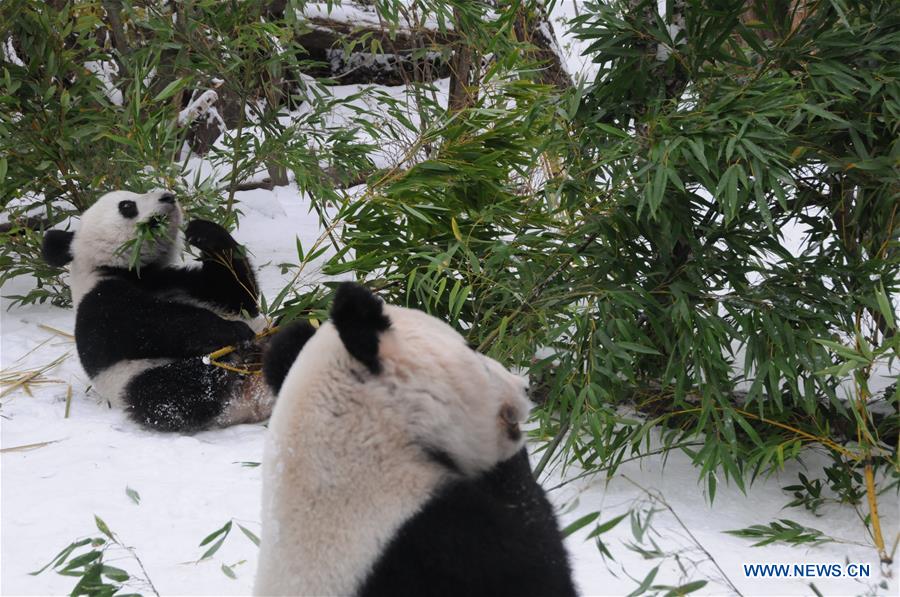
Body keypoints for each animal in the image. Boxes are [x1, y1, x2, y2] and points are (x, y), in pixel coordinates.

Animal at [41, 189, 274, 430]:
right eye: (127, 206)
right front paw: (234, 330)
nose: (168, 196)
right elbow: (156, 325)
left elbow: (238, 295)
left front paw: (203, 231)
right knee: (173, 392)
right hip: (138, 377)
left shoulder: (179, 281)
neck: (135, 273)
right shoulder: (100, 302)